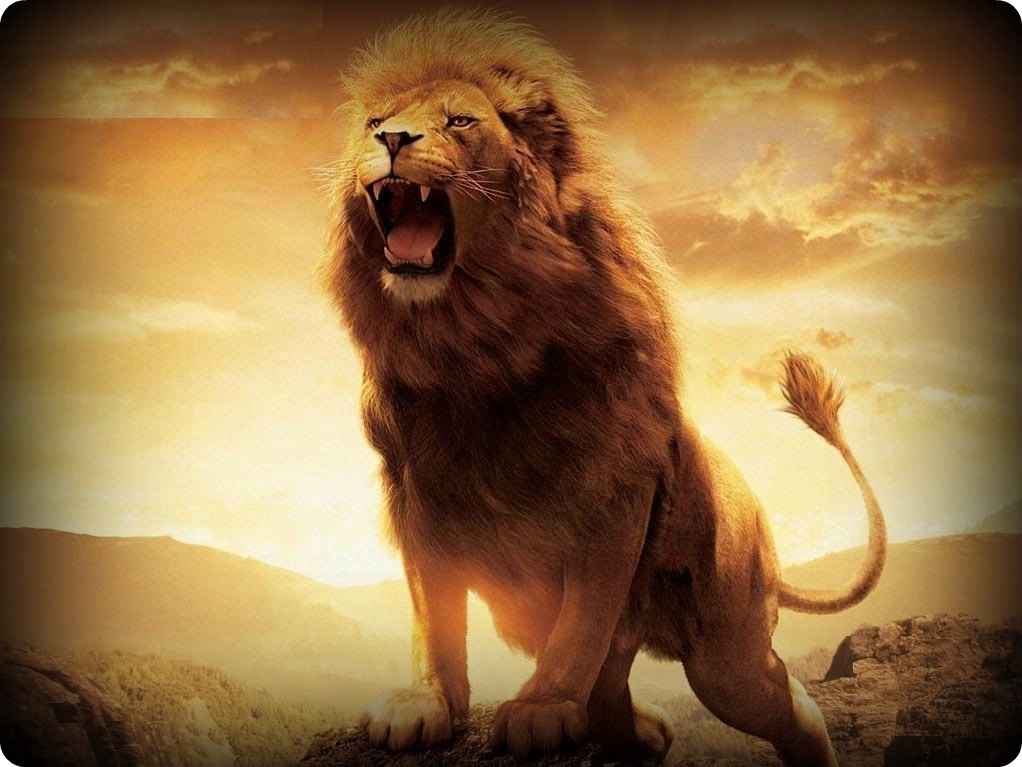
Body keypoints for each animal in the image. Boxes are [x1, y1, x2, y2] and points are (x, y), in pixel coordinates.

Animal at [323, 9, 886, 767]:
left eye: (459, 120)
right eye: (375, 120)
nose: (391, 140)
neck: (472, 344)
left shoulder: (614, 490)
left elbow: (583, 618)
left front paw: (539, 708)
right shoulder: (416, 488)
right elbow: (432, 611)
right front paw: (424, 702)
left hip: (727, 650)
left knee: (786, 702)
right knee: (616, 688)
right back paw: (642, 731)